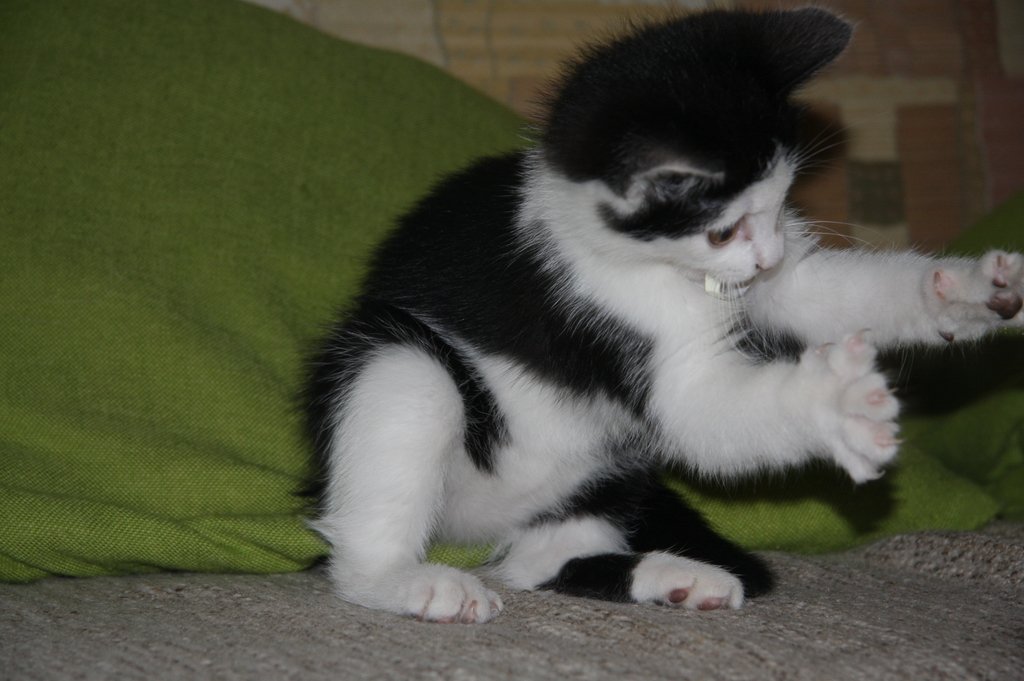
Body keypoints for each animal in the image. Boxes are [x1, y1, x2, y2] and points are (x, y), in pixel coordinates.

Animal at [304, 7, 1024, 623]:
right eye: (724, 229)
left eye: (780, 204)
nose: (770, 254)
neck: (637, 260)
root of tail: (476, 527)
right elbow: (703, 412)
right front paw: (835, 400)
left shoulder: (768, 284)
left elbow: (827, 292)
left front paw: (961, 289)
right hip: (400, 360)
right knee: (404, 413)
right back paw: (412, 581)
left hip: (605, 471)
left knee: (542, 558)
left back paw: (679, 575)